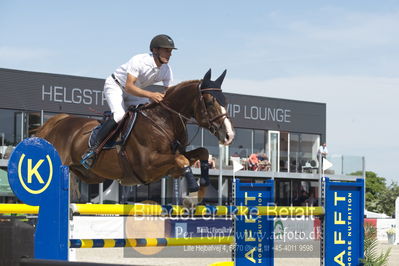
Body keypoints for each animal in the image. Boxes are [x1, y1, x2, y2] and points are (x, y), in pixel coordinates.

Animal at [34, 69, 236, 203]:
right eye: (209, 102)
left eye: (225, 101)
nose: (229, 135)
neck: (163, 121)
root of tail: (58, 121)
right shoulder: (148, 165)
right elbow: (182, 160)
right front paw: (193, 186)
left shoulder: (169, 162)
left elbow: (200, 153)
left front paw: (202, 184)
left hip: (87, 175)